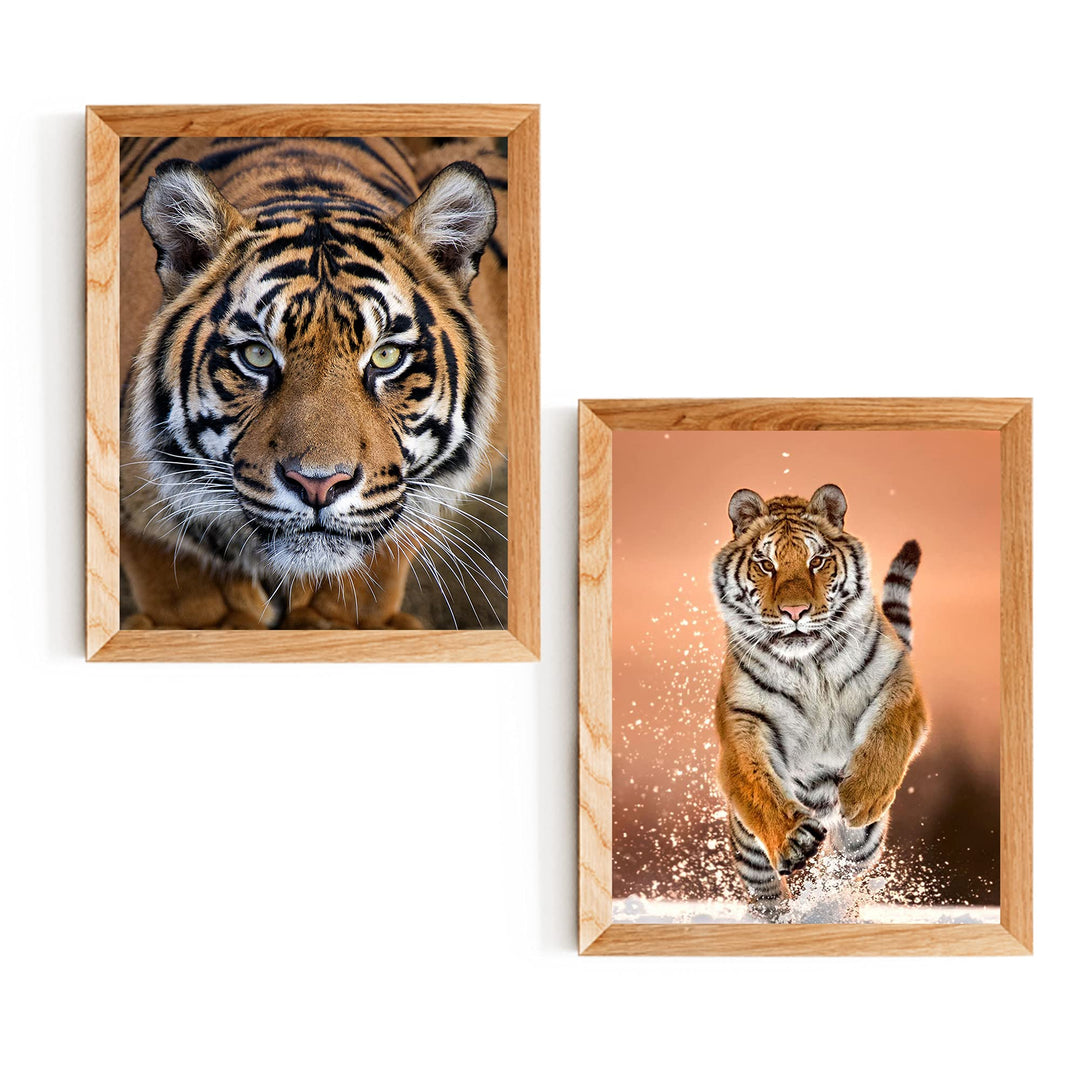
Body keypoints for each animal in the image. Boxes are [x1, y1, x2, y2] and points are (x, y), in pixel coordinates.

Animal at [709, 483, 929, 920]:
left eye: (817, 560)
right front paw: (795, 838)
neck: (810, 665)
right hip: (749, 852)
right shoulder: (743, 718)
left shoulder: (900, 681)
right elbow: (758, 782)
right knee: (769, 892)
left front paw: (860, 796)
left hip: (862, 847)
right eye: (765, 564)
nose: (795, 611)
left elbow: (888, 734)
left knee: (841, 877)